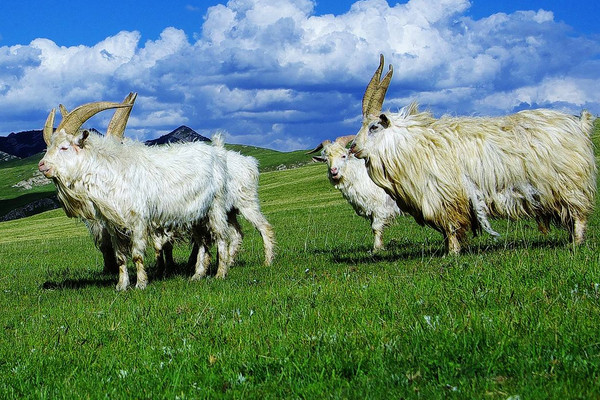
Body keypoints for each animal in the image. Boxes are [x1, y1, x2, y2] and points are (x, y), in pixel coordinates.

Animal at [352, 54, 596, 253]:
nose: (353, 147)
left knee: (578, 214)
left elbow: (451, 227)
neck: (415, 145)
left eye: (374, 126)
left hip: (569, 184)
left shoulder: (445, 196)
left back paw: (576, 242)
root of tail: (579, 124)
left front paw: (452, 253)